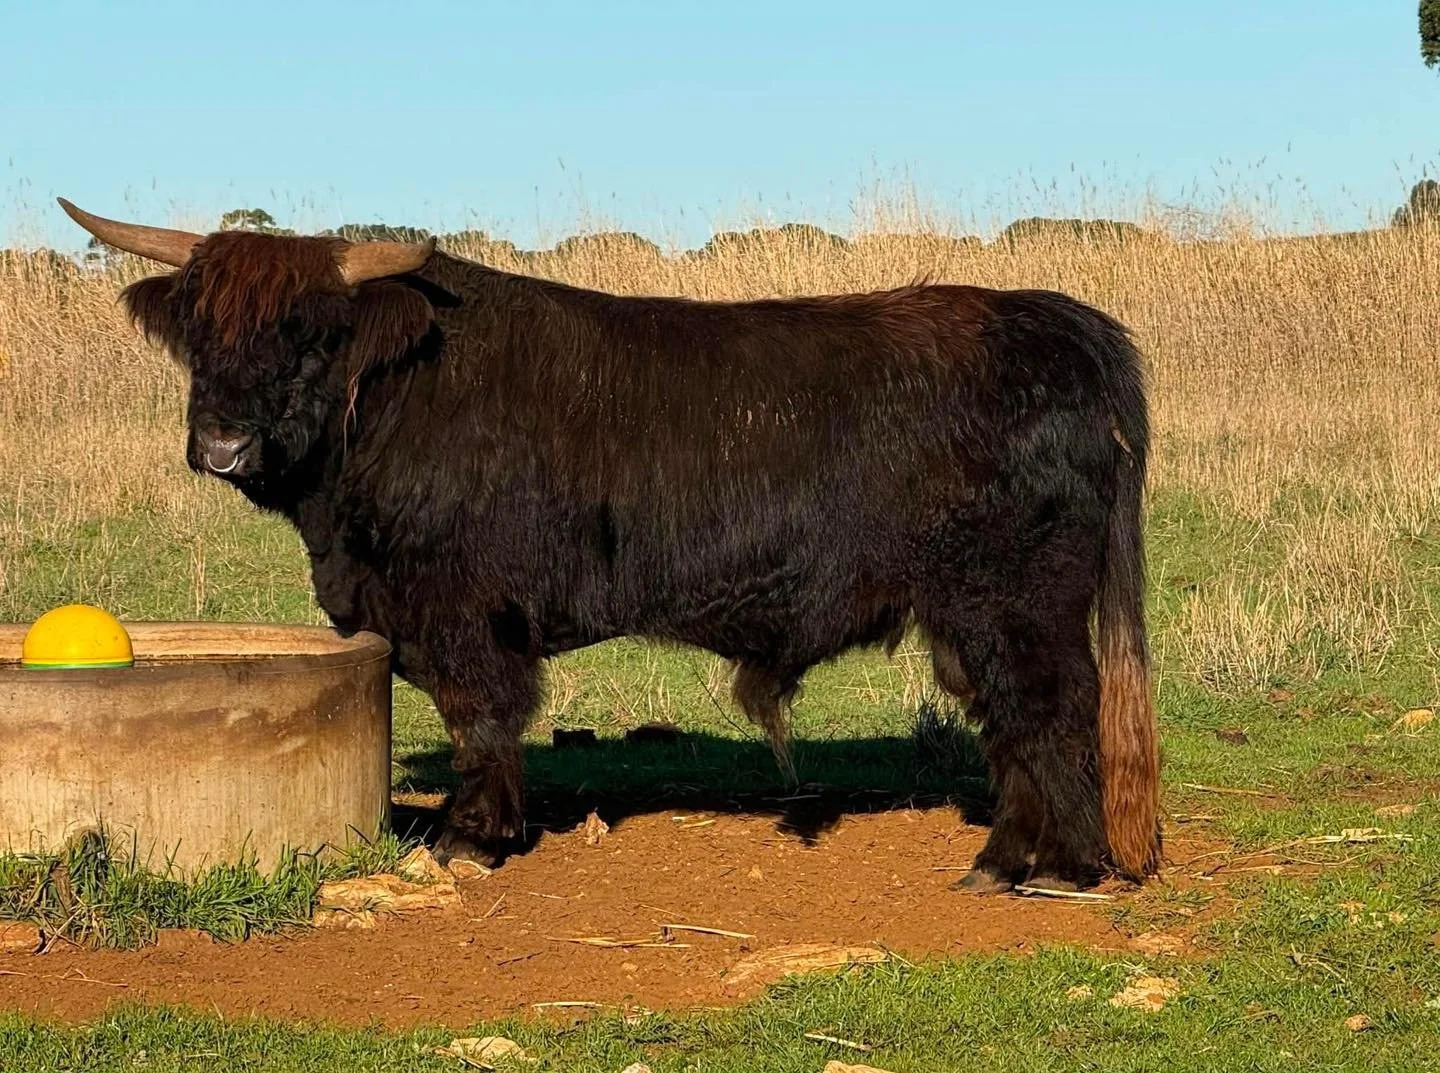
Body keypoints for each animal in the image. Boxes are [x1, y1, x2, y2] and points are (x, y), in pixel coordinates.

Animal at [60, 197, 1162, 893]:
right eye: (200, 335)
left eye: (313, 333)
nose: (223, 444)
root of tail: (1064, 324)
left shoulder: (464, 609)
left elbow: (480, 715)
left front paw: (470, 836)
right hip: (970, 614)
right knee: (1008, 721)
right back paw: (1003, 859)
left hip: (1015, 598)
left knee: (1052, 709)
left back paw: (1063, 868)